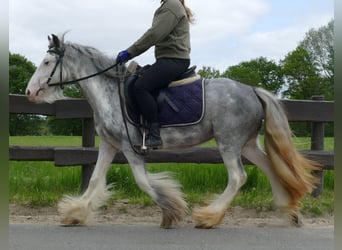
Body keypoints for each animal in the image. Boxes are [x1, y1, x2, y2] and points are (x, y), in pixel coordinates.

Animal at [25, 32, 320, 229]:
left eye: (47, 63)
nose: (29, 92)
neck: (109, 92)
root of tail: (252, 91)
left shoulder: (131, 148)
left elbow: (144, 182)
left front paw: (171, 212)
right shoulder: (109, 144)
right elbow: (95, 179)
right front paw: (75, 213)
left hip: (229, 143)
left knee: (238, 177)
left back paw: (209, 217)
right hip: (246, 144)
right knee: (270, 168)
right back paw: (289, 210)